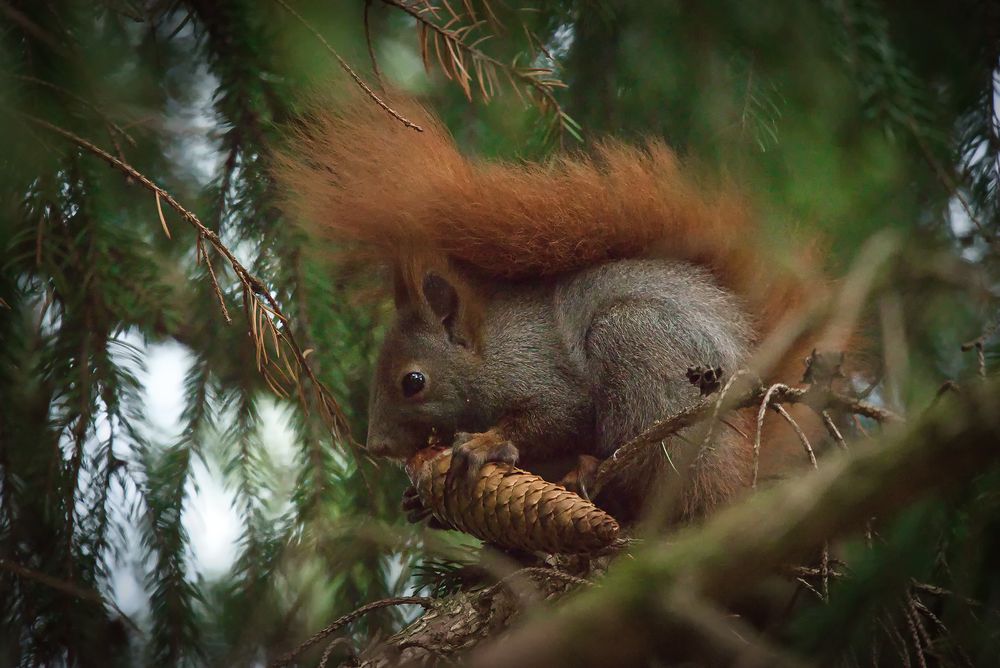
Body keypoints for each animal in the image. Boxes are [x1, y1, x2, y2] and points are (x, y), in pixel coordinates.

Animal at [276, 95, 820, 520]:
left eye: (414, 381)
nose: (378, 447)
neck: (491, 351)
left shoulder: (543, 373)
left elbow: (556, 416)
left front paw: (486, 443)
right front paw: (420, 504)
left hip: (644, 352)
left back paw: (595, 469)